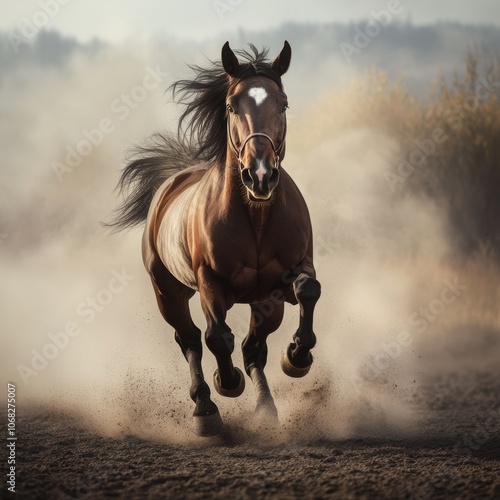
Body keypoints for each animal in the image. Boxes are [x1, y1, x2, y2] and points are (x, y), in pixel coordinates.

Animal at [110, 41, 320, 436]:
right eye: (232, 105)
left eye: (282, 103)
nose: (260, 175)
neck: (255, 216)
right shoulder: (210, 282)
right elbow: (217, 337)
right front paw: (228, 382)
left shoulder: (286, 279)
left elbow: (308, 290)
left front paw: (298, 356)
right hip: (168, 292)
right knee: (191, 339)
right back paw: (206, 409)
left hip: (263, 303)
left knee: (253, 348)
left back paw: (266, 409)